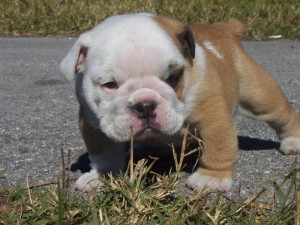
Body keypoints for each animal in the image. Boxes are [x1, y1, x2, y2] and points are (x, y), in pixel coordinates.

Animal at [60, 12, 300, 192]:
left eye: (173, 78)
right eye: (110, 84)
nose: (145, 105)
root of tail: (223, 29)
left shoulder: (214, 119)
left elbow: (218, 146)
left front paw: (210, 178)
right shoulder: (92, 123)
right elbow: (104, 153)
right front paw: (102, 176)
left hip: (257, 95)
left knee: (281, 113)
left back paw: (293, 141)